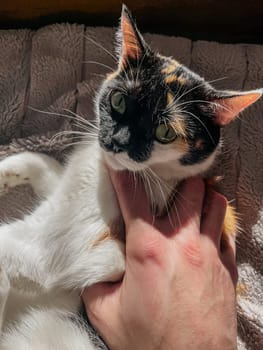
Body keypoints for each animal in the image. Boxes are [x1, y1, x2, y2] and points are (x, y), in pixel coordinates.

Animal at [0, 5, 262, 350]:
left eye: (165, 132)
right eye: (119, 100)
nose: (117, 141)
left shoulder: (51, 249)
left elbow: (10, 246)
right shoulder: (65, 194)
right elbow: (42, 163)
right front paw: (4, 171)